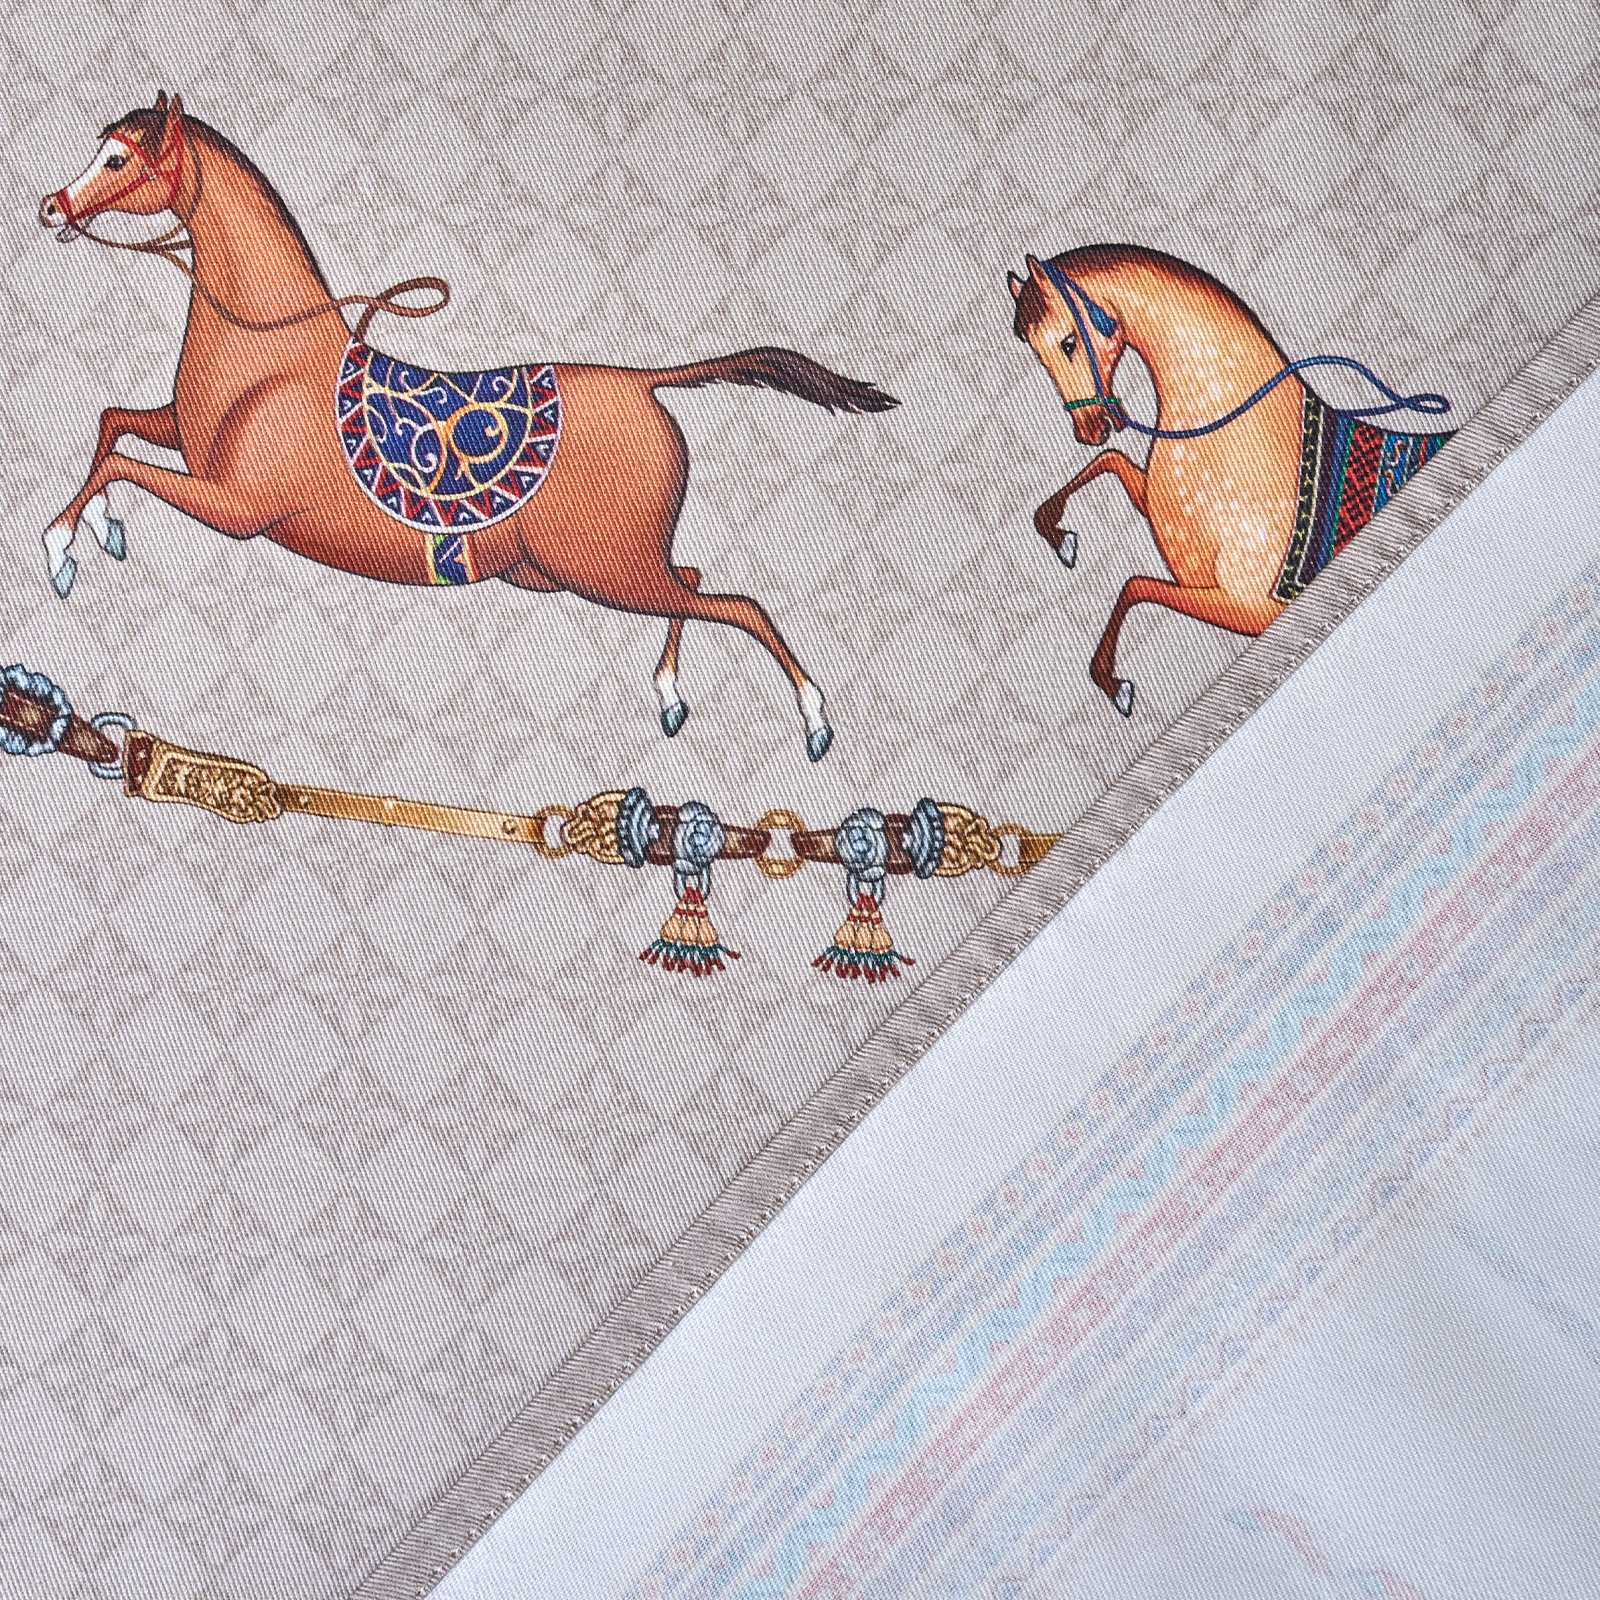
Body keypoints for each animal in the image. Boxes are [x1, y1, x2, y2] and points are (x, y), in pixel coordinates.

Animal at [37, 93, 899, 763]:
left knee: (737, 603)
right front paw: (102, 532)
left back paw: (814, 720)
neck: (270, 355)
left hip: (605, 568)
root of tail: (642, 383)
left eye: (116, 159)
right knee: (691, 581)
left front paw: (62, 550)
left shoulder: (238, 506)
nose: (51, 209)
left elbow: (120, 467)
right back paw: (669, 698)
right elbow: (112, 428)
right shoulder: (185, 441)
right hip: (576, 569)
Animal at [1008, 245, 1454, 717]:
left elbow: (1134, 586)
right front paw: (1058, 533)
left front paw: (1113, 683)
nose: (1088, 429)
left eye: (1068, 342)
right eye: (1038, 355)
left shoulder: (1245, 607)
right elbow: (1110, 463)